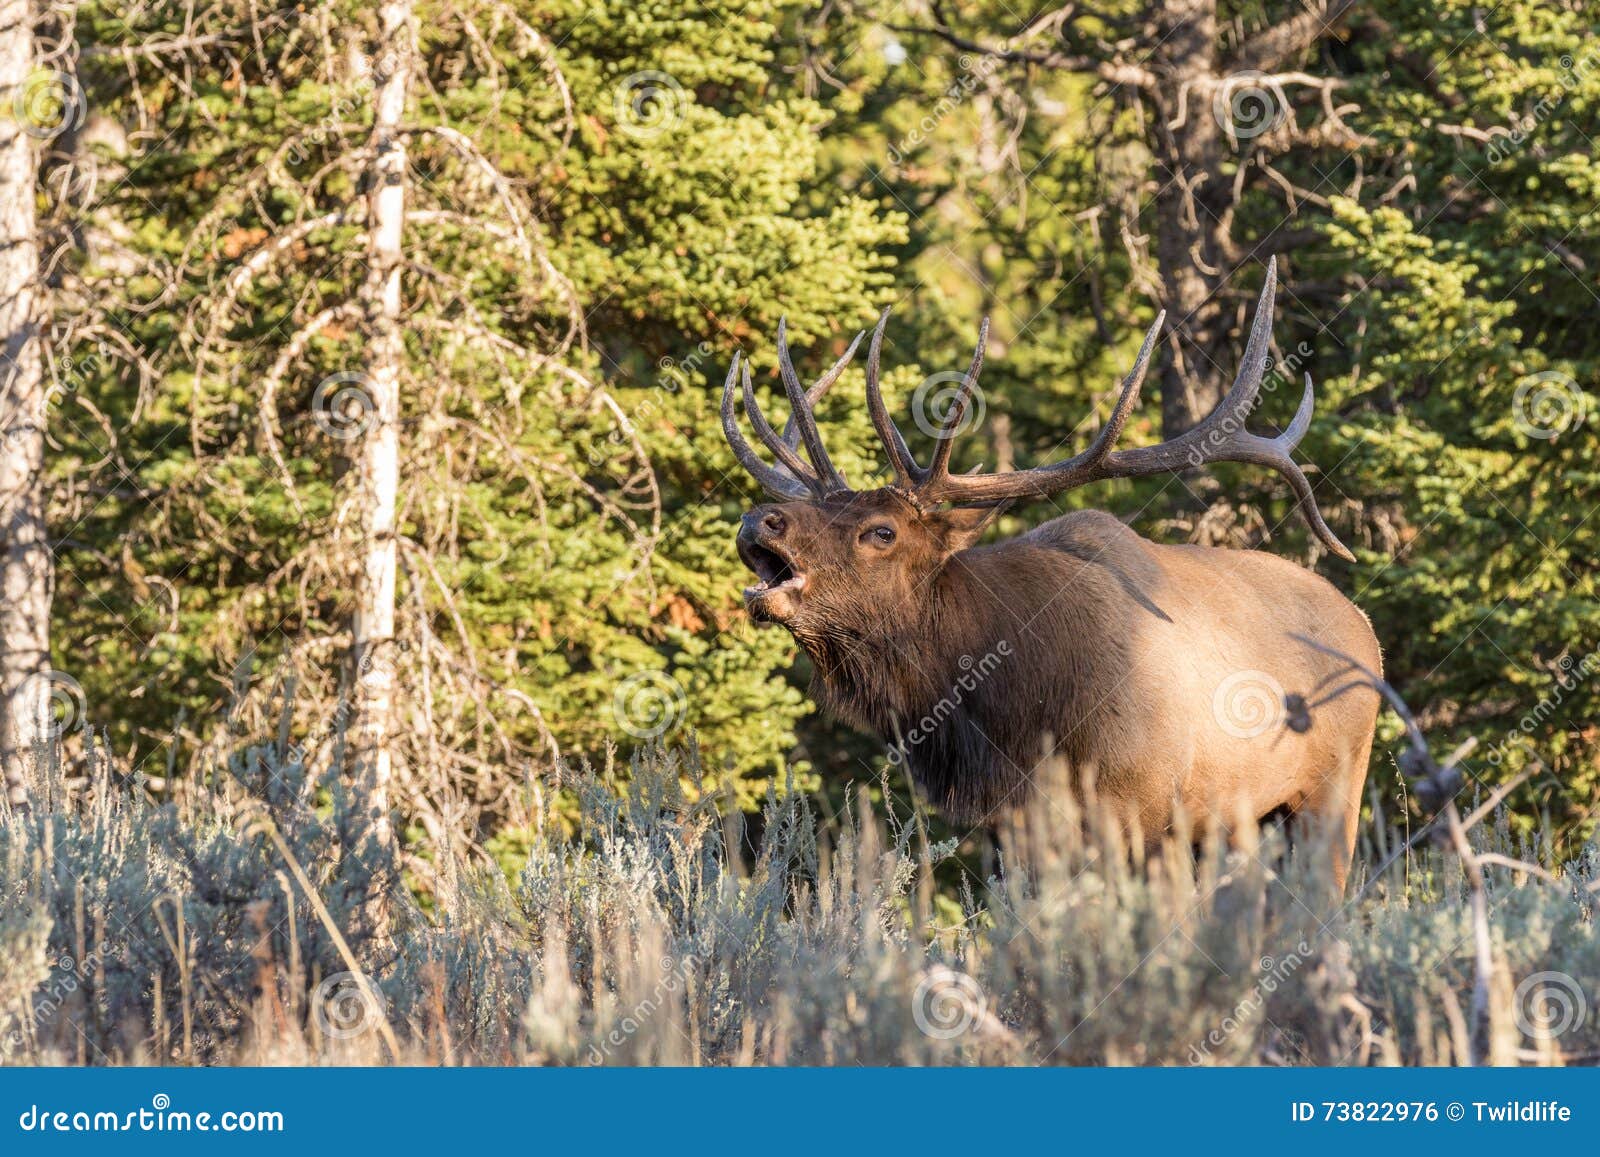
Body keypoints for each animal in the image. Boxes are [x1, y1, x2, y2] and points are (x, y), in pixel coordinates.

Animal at [721, 259, 1382, 890]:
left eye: (882, 531)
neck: (1017, 714)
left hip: (1335, 786)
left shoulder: (1148, 809)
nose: (760, 518)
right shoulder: (1013, 826)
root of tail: (1366, 630)